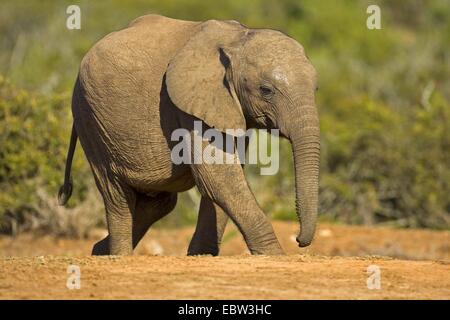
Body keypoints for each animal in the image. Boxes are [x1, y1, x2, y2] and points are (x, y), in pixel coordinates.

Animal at [58, 15, 320, 256]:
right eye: (266, 91)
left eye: (316, 88)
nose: (299, 240)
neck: (237, 39)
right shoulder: (190, 105)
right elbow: (218, 175)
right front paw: (275, 256)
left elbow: (225, 177)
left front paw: (201, 255)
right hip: (90, 118)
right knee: (117, 196)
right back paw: (118, 256)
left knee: (158, 203)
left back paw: (98, 251)